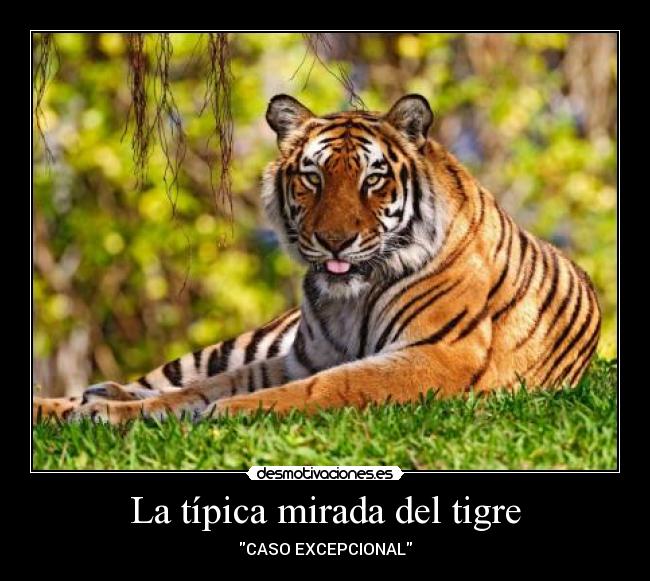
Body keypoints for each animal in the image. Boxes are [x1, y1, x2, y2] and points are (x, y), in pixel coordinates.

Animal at [33, 93, 601, 425]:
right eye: (313, 177)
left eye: (373, 179)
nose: (334, 241)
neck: (350, 299)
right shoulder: (299, 356)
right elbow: (198, 389)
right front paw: (109, 413)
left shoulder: (439, 354)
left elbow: (326, 386)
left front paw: (225, 412)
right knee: (159, 379)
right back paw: (77, 402)